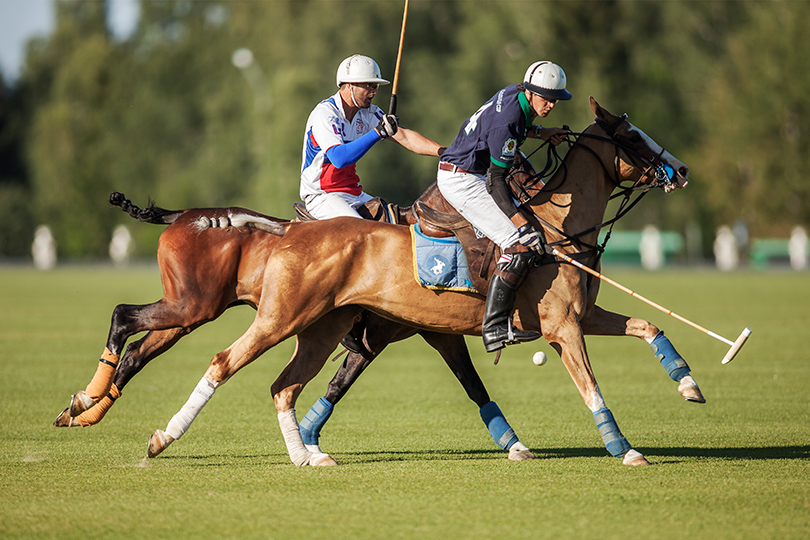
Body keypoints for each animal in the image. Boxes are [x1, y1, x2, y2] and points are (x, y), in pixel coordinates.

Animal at [147, 98, 700, 468]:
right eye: (631, 137)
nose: (681, 169)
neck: (555, 228)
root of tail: (293, 231)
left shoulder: (576, 316)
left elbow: (648, 325)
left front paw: (688, 383)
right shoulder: (560, 326)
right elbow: (590, 386)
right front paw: (625, 449)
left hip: (323, 325)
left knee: (284, 385)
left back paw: (306, 455)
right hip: (281, 316)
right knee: (223, 362)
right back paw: (162, 438)